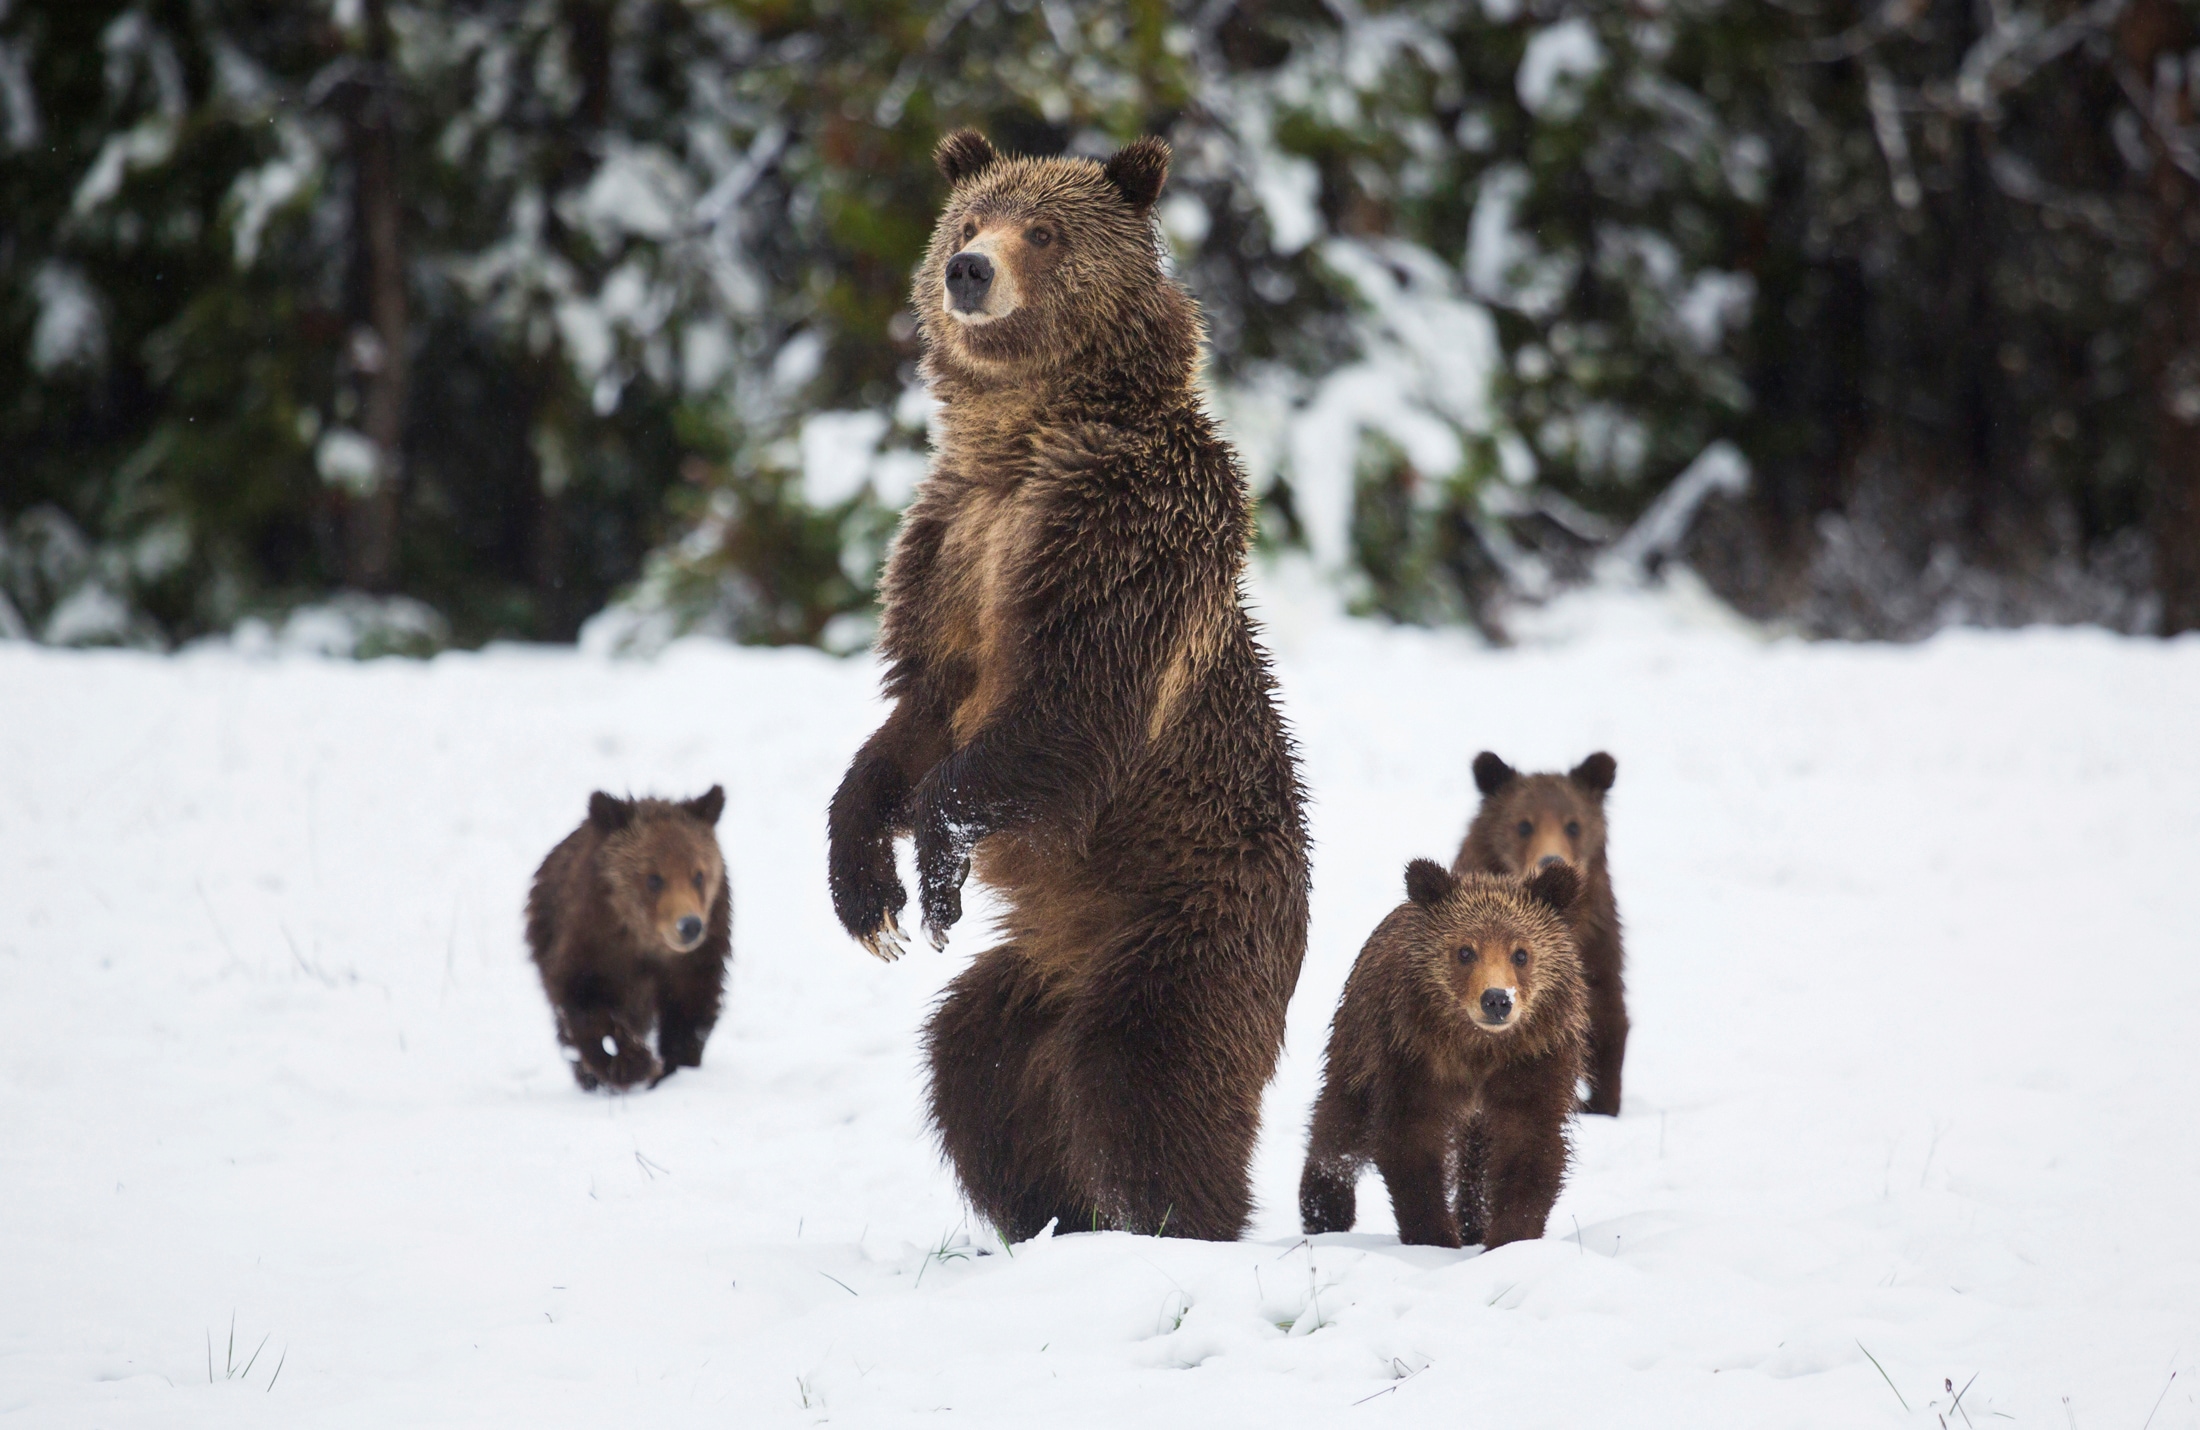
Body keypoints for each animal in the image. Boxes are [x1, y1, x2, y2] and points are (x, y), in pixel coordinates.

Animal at [528, 792, 734, 1091]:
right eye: (654, 878)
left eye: (698, 875)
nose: (690, 926)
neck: (642, 941)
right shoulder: (590, 947)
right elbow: (584, 1005)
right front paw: (631, 1063)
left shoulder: (696, 962)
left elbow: (690, 1013)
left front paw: (674, 1068)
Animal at [827, 130, 1302, 1232]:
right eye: (969, 218)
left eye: (1042, 231)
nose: (968, 271)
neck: (1025, 438)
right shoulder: (952, 548)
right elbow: (914, 715)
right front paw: (870, 896)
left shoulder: (1118, 537)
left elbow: (1064, 707)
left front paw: (935, 871)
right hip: (1035, 970)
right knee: (975, 1067)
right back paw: (1048, 1214)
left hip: (1183, 925)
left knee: (1144, 1078)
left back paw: (1176, 1220)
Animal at [1293, 858, 1592, 1249]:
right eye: (1465, 950)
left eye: (1521, 953)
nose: (1497, 999)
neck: (1477, 1048)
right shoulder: (1412, 1055)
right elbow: (1411, 1140)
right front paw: (1433, 1236)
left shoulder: (1534, 1059)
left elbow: (1529, 1145)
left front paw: (1510, 1238)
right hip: (1357, 1038)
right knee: (1341, 1122)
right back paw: (1324, 1208)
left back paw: (1473, 1222)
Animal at [1452, 752, 1628, 1108]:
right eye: (1524, 824)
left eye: (1573, 824)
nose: (1552, 860)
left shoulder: (1597, 944)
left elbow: (1606, 1015)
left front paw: (1604, 1104)